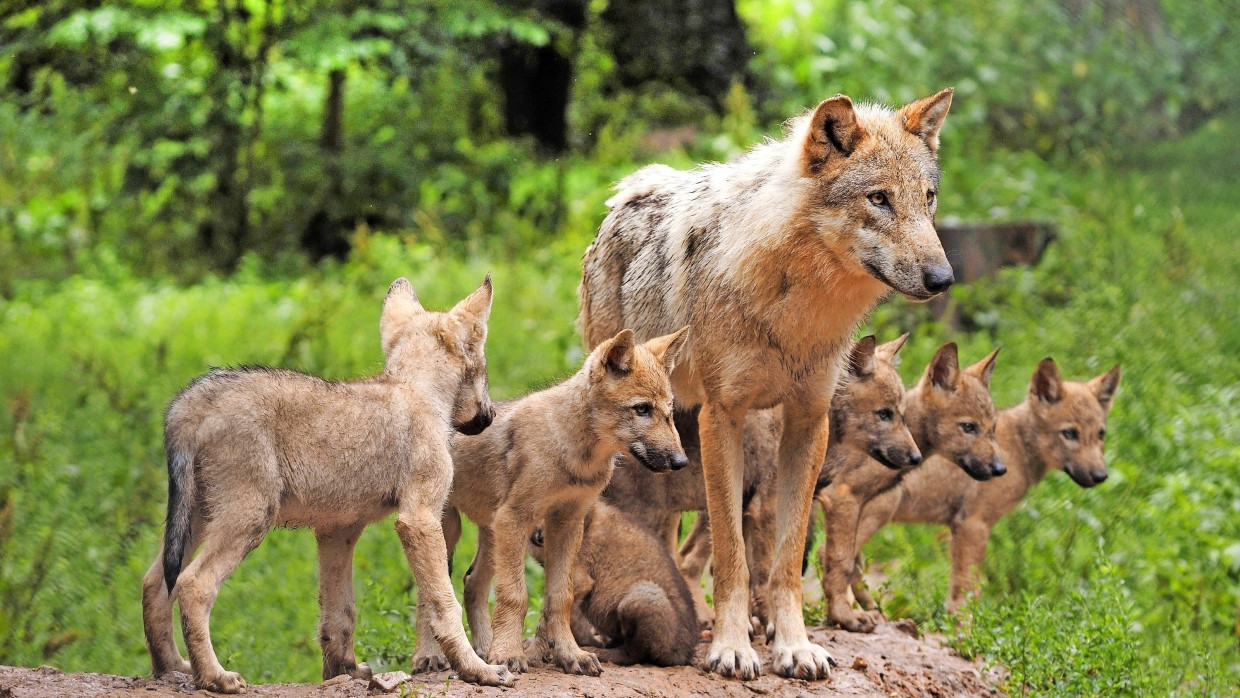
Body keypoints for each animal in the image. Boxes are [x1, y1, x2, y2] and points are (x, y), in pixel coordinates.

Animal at [580, 89, 957, 679]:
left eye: (929, 198)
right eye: (878, 199)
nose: (944, 279)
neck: (796, 308)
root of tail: (630, 192)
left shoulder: (807, 422)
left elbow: (786, 555)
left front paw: (794, 646)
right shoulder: (723, 418)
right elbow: (733, 555)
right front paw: (731, 647)